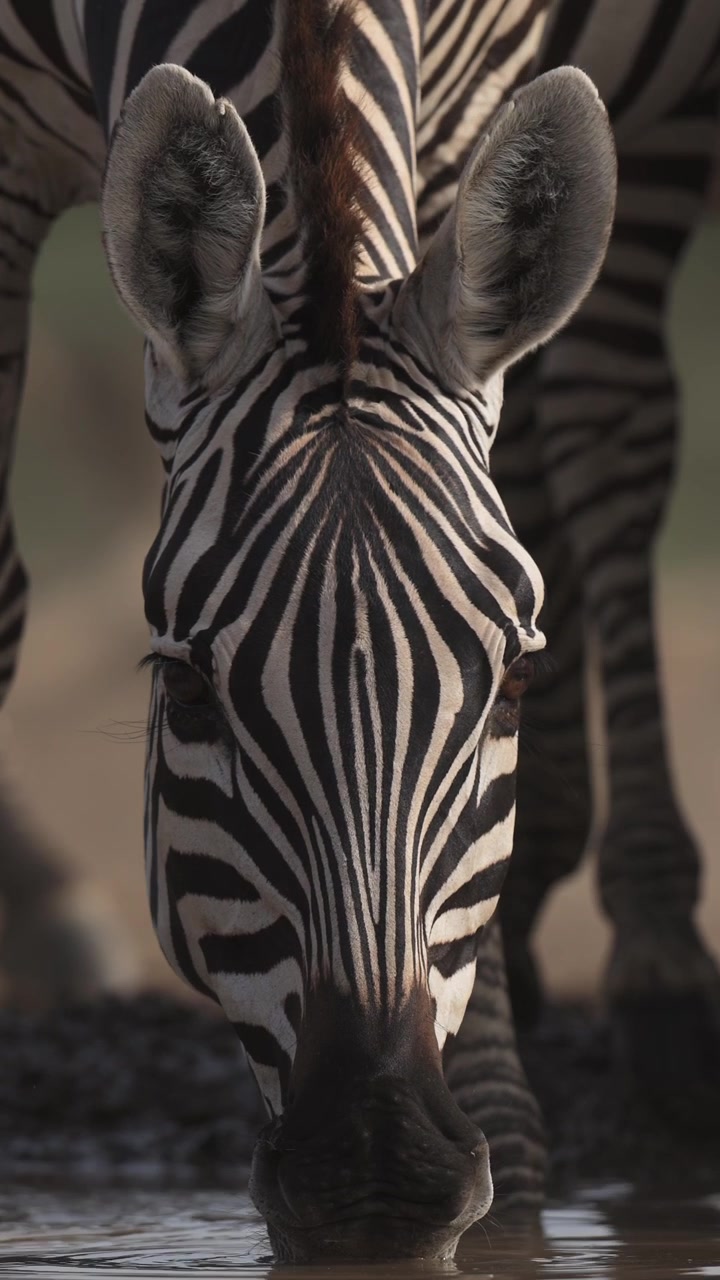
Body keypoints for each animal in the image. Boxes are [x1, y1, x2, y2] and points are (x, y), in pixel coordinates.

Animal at [0, 0, 714, 1263]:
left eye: (512, 683)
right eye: (187, 691)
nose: (382, 1171)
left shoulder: (465, 96)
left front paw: (505, 1163)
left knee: (606, 419)